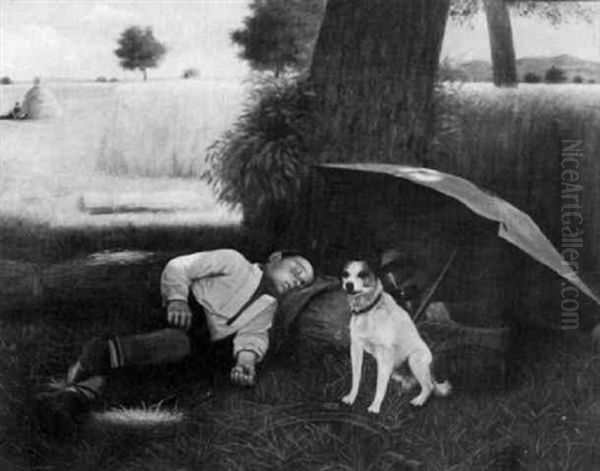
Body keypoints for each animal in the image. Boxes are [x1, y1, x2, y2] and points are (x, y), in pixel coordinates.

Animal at [342, 260, 450, 414]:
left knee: (429, 386)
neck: (369, 310)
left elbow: (380, 385)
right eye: (345, 274)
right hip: (394, 368)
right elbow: (356, 377)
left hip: (414, 359)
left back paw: (418, 401)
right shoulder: (356, 347)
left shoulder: (385, 353)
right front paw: (351, 397)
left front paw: (375, 407)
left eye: (362, 274)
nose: (348, 285)